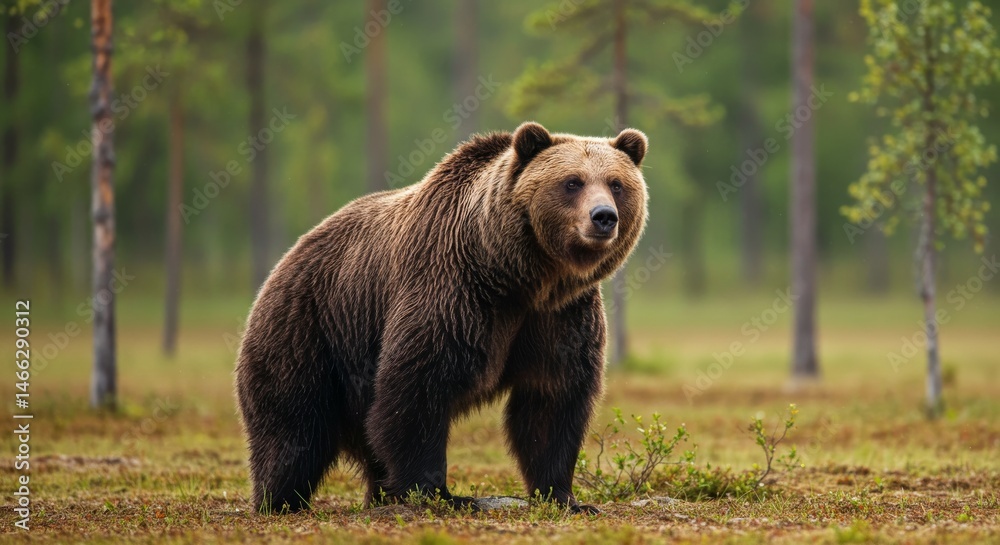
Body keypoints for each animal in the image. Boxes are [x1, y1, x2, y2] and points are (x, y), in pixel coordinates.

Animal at [235, 121, 649, 514]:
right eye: (572, 182)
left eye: (616, 183)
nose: (603, 217)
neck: (521, 275)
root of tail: (285, 260)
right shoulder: (453, 291)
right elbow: (418, 388)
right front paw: (440, 493)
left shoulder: (560, 315)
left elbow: (552, 401)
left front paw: (567, 497)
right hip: (310, 329)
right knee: (294, 430)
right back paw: (280, 499)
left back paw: (377, 494)